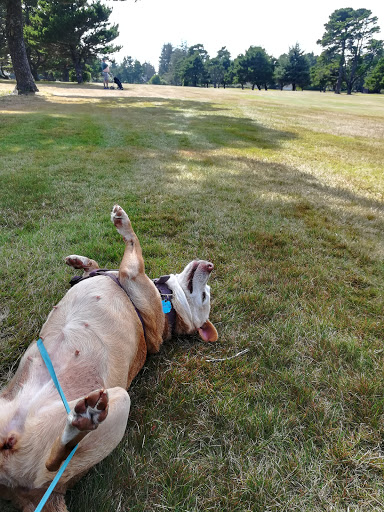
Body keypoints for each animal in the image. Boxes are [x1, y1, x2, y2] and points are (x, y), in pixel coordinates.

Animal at [0, 205, 216, 512]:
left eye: (205, 295)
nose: (210, 266)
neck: (168, 303)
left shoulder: (133, 275)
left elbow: (134, 249)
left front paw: (123, 224)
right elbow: (96, 264)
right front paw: (79, 261)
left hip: (118, 401)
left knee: (52, 466)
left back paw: (78, 424)